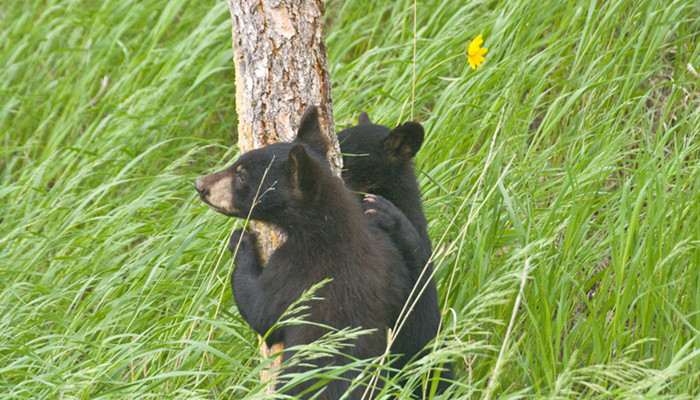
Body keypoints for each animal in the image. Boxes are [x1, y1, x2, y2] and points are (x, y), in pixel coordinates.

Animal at [194, 107, 418, 400]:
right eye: (236, 163)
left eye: (242, 176)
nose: (200, 184)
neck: (326, 222)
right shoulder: (389, 257)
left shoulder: (299, 268)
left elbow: (261, 310)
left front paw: (240, 241)